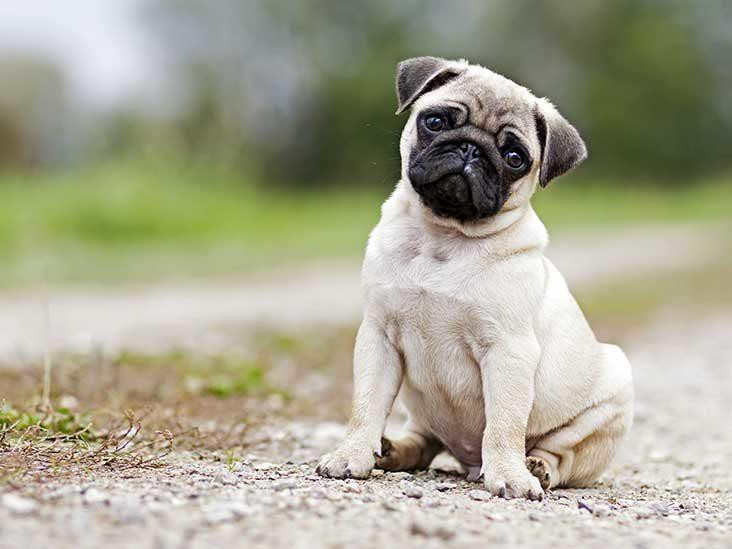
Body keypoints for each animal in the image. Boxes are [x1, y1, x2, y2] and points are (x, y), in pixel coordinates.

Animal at [318, 57, 632, 498]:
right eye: (435, 121)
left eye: (515, 157)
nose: (470, 148)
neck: (443, 237)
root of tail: (467, 462)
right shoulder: (378, 336)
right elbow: (366, 405)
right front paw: (352, 454)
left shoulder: (508, 351)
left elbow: (504, 423)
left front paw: (510, 476)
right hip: (423, 412)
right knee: (424, 441)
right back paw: (392, 451)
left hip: (614, 393)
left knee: (562, 455)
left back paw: (535, 467)